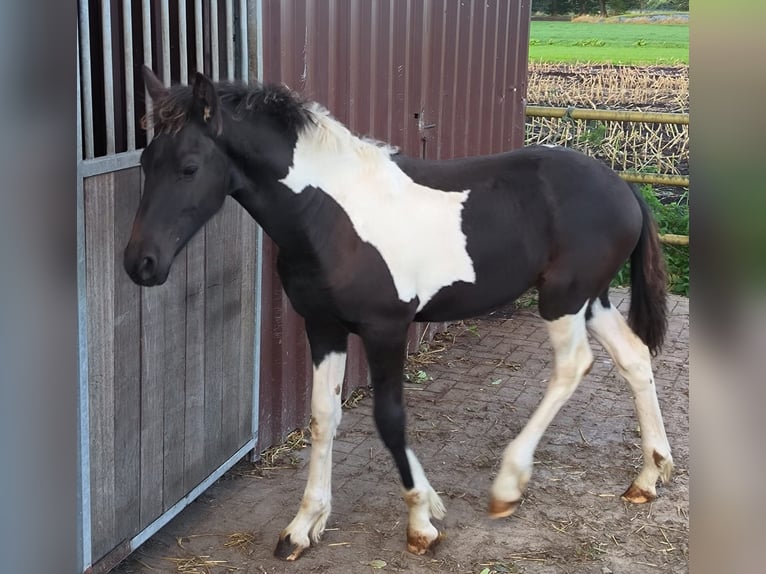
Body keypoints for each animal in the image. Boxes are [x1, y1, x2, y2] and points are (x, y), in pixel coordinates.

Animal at [124, 71, 672, 564]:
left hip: (562, 300)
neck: (329, 216)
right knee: (634, 357)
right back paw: (648, 477)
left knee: (573, 365)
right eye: (146, 161)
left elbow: (389, 419)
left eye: (190, 166)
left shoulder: (385, 329)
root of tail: (623, 187)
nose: (140, 263)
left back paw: (508, 485)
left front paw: (421, 523)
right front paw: (304, 527)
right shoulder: (323, 327)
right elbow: (323, 417)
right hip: (591, 299)